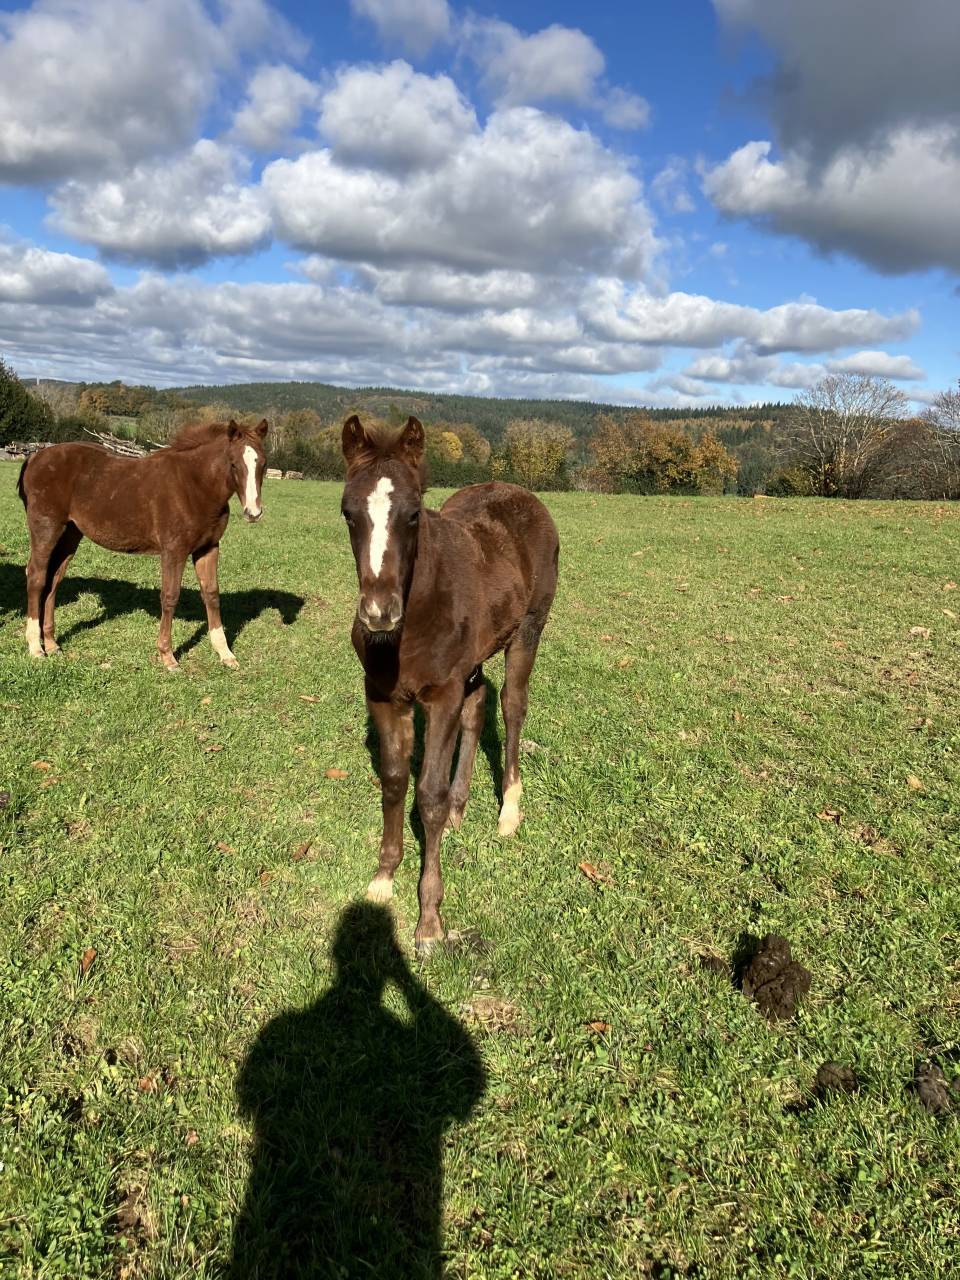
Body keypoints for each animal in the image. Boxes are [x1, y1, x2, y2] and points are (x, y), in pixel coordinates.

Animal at [17, 419, 268, 670]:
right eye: (233, 464)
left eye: (263, 465)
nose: (253, 513)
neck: (194, 485)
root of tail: (35, 457)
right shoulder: (174, 551)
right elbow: (170, 596)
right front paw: (167, 656)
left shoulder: (208, 548)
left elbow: (212, 594)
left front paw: (225, 653)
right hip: (46, 529)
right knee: (36, 576)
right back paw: (35, 648)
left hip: (70, 534)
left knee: (53, 580)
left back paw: (51, 644)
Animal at [340, 414, 559, 954]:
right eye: (348, 513)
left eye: (413, 514)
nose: (378, 614)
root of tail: (521, 493)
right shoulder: (384, 695)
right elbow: (394, 781)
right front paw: (383, 880)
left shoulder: (440, 695)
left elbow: (428, 795)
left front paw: (429, 920)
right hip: (472, 660)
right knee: (478, 703)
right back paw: (464, 807)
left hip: (529, 630)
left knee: (511, 704)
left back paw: (508, 811)